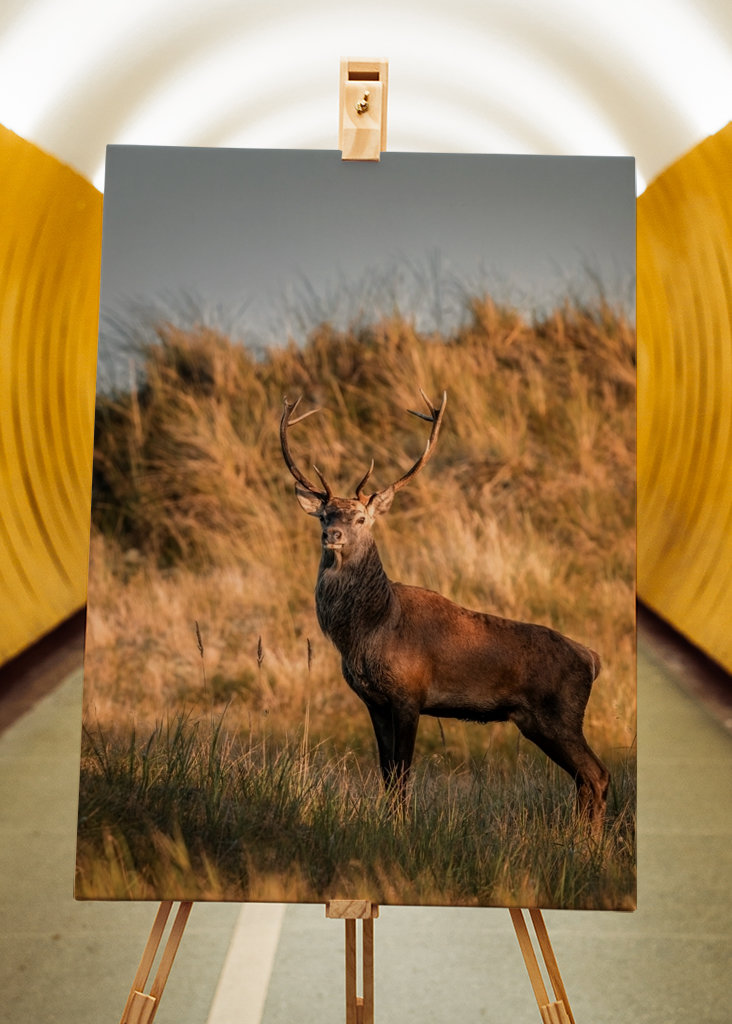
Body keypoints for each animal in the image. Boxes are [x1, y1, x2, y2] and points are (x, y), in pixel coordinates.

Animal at [280, 389, 610, 833]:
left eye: (361, 517)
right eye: (325, 514)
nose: (332, 535)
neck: (368, 631)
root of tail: (592, 658)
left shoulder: (409, 693)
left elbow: (402, 772)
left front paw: (400, 828)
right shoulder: (373, 701)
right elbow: (387, 773)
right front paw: (390, 823)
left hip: (560, 712)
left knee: (597, 774)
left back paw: (589, 841)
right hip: (540, 721)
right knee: (585, 778)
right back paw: (581, 838)